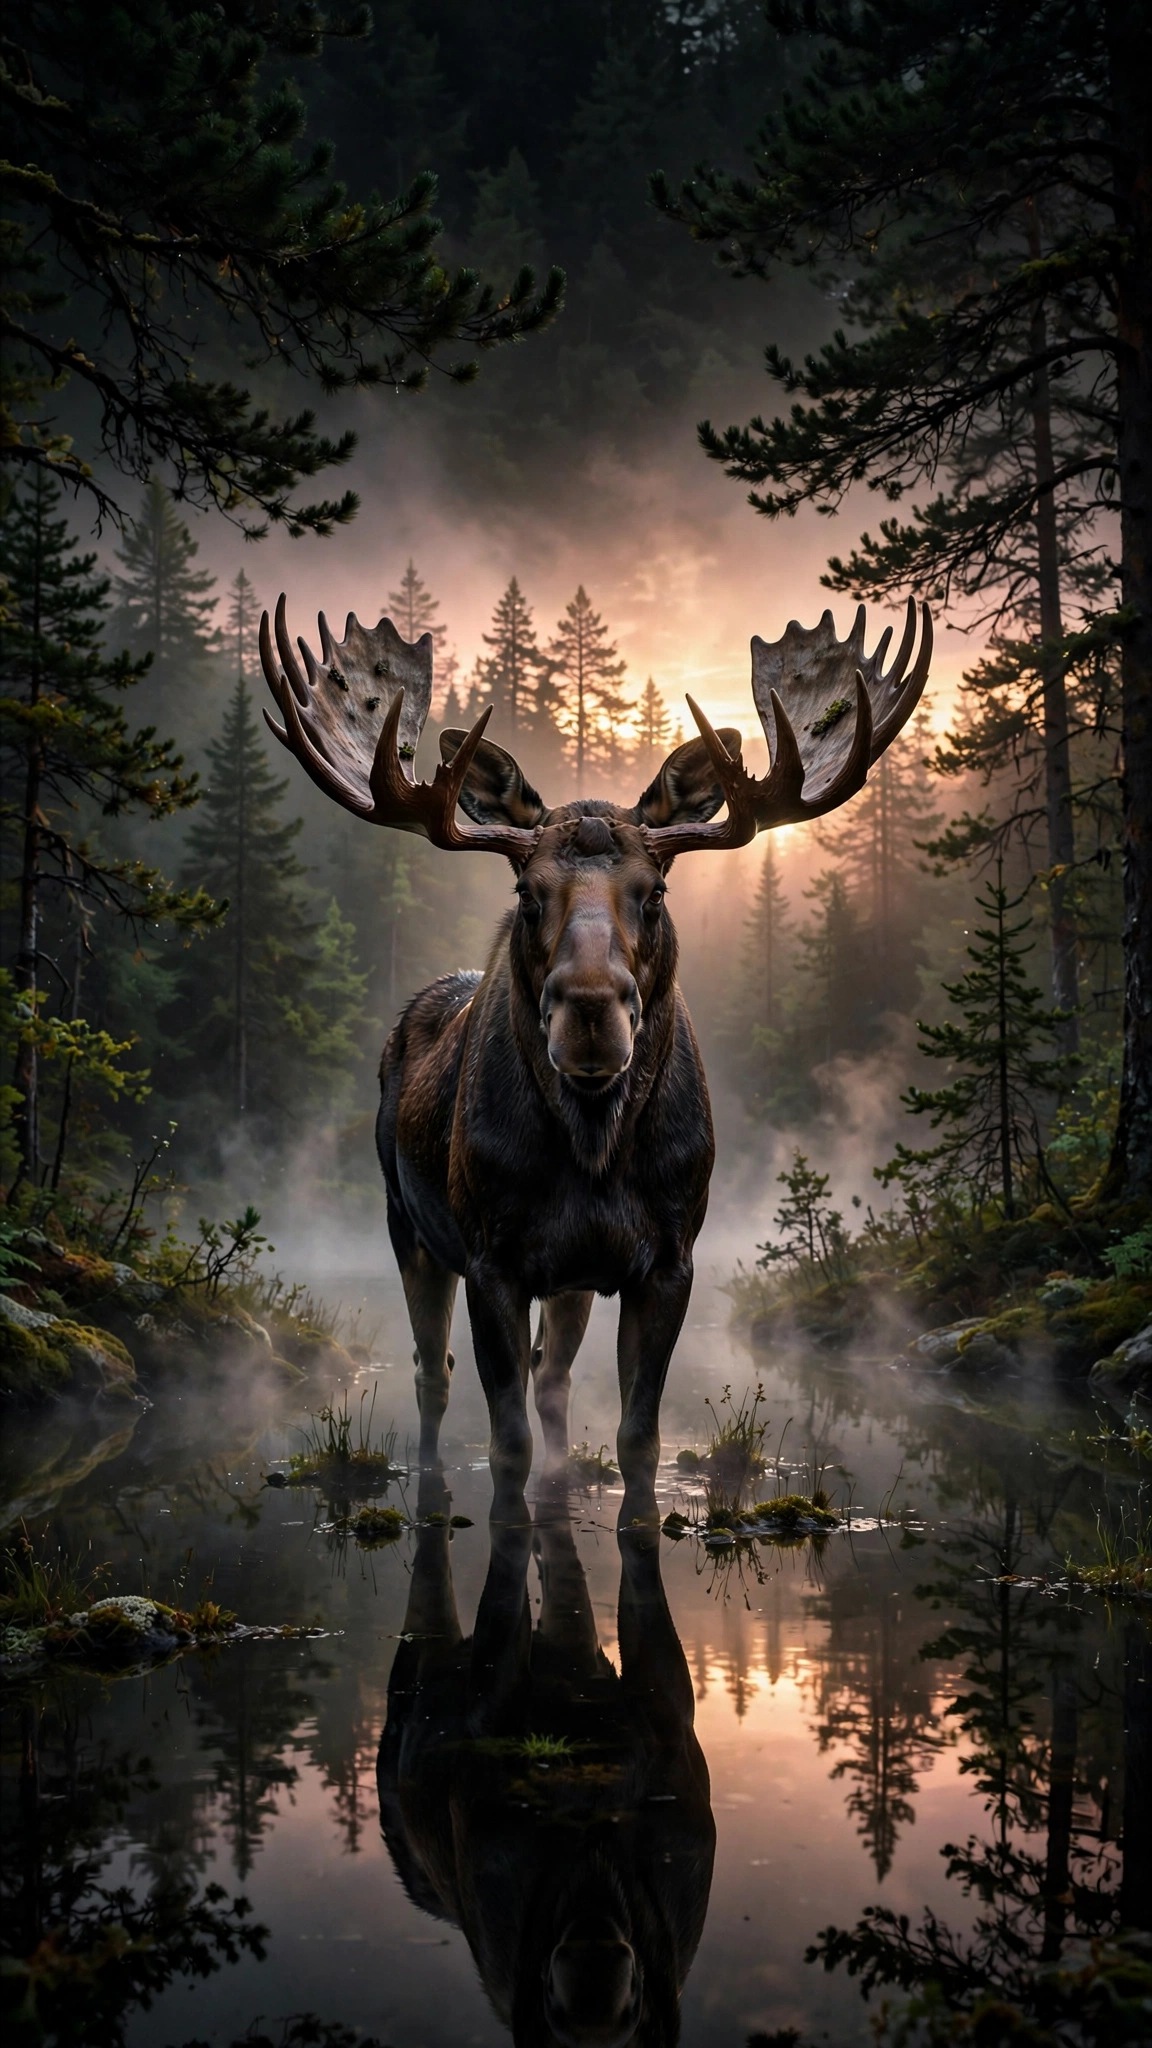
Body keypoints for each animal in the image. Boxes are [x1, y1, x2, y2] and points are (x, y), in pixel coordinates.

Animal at [260, 593, 930, 1511]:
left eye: (655, 892)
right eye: (526, 892)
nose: (588, 1012)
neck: (593, 1146)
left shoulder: (667, 1260)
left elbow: (636, 1438)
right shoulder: (492, 1259)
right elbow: (502, 1442)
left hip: (568, 1278)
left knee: (552, 1380)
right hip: (408, 1227)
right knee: (433, 1375)